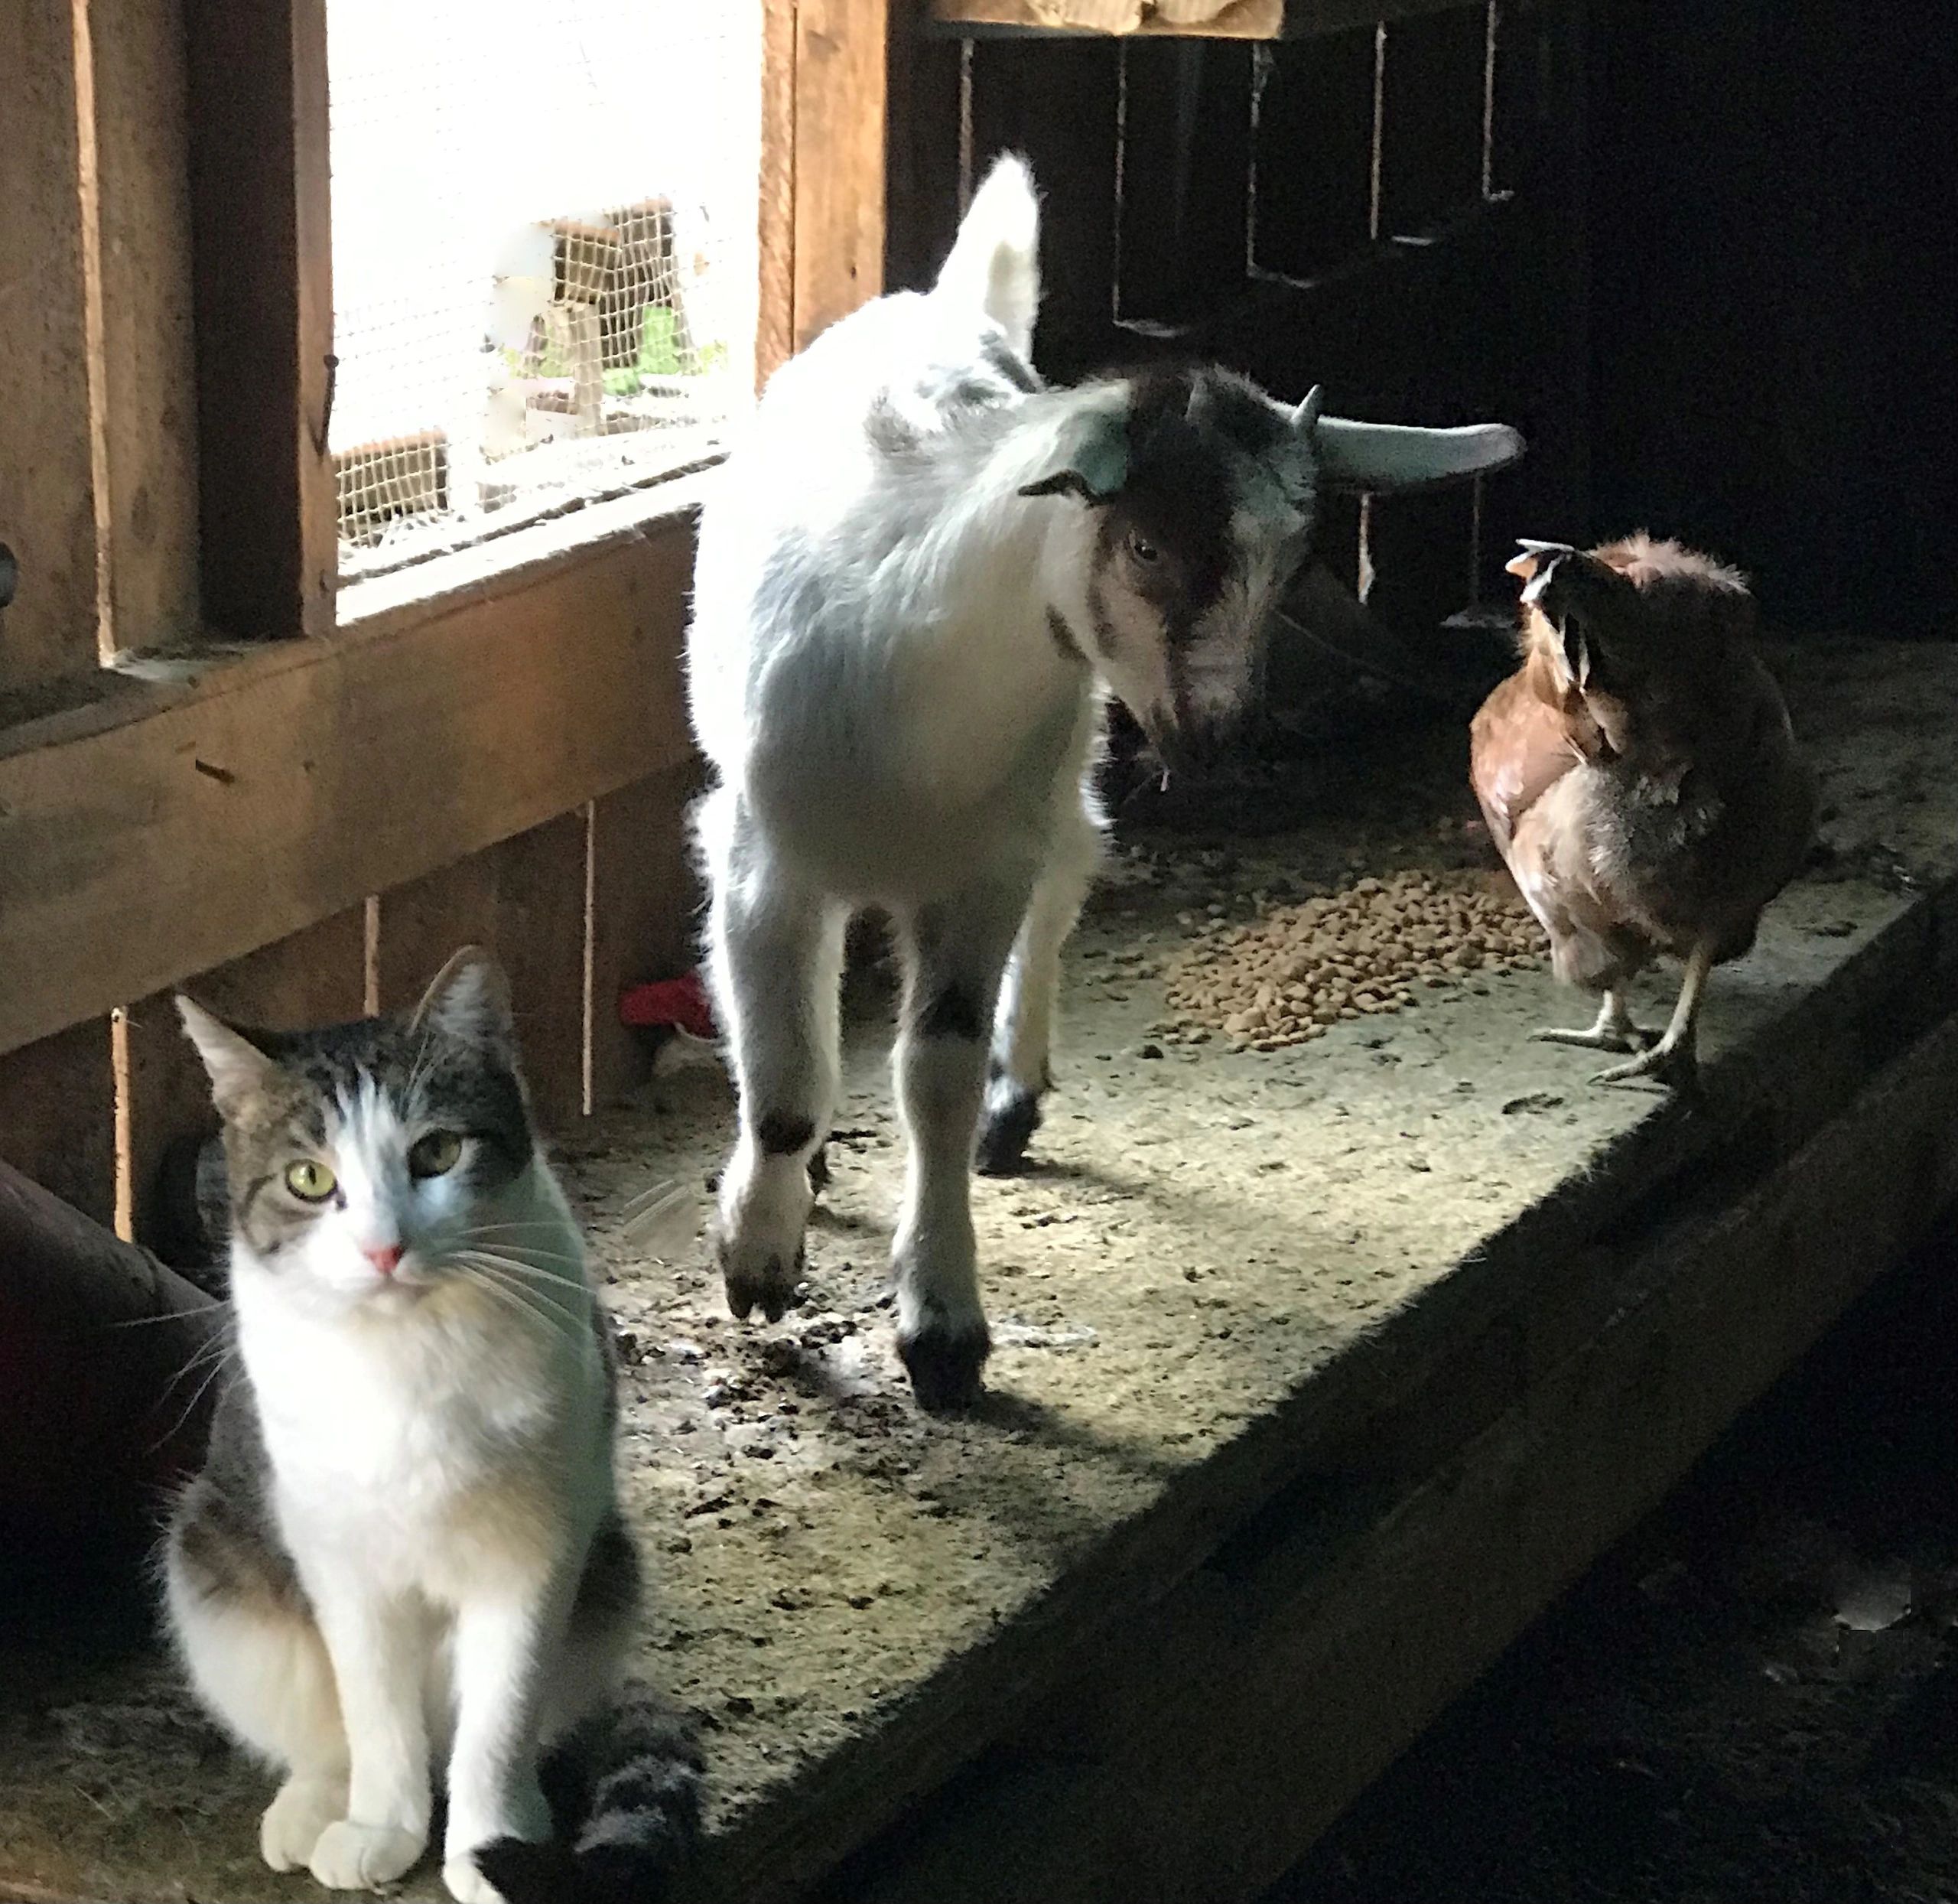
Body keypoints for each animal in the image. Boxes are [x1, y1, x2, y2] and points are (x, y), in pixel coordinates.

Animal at [685, 155, 1524, 1410]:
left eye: (1293, 562)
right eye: (1144, 545)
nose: (1219, 741)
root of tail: (946, 306)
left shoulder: (981, 868)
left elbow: (931, 1072)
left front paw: (943, 1326)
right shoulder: (761, 861)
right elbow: (781, 1086)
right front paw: (759, 1254)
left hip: (1060, 758)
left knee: (1069, 868)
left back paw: (1014, 1091)